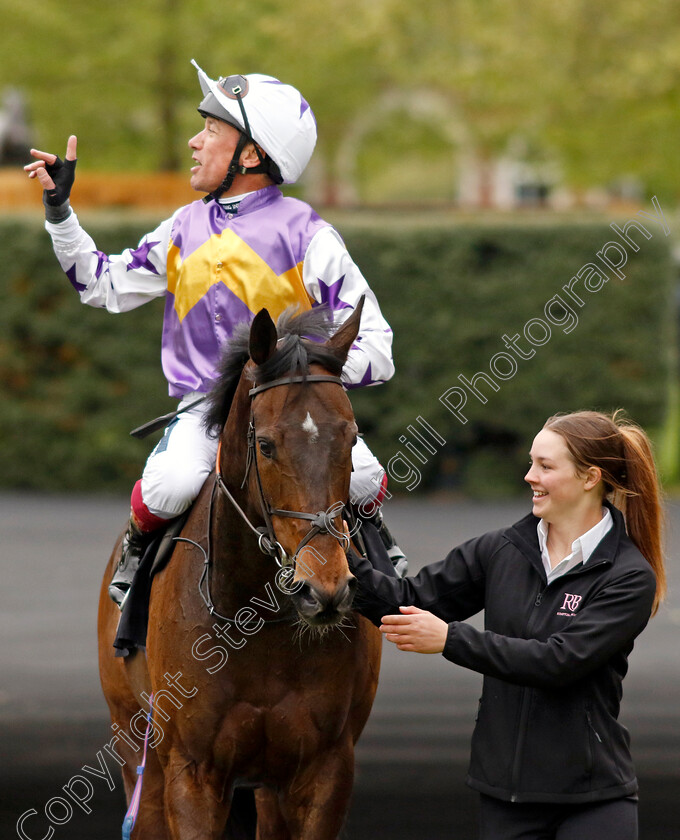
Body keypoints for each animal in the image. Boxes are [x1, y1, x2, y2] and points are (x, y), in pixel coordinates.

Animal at [96, 304, 382, 840]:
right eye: (266, 445)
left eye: (352, 438)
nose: (325, 589)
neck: (258, 620)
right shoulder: (191, 771)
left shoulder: (327, 768)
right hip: (134, 747)